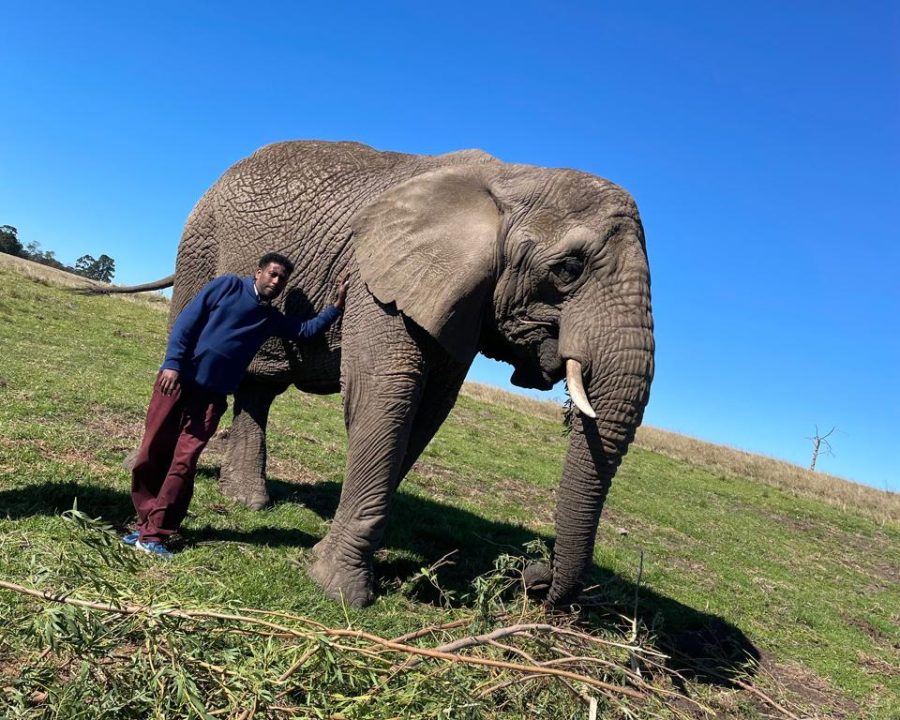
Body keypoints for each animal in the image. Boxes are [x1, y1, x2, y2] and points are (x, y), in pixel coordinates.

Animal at [103, 140, 654, 608]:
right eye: (568, 269)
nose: (532, 576)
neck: (516, 177)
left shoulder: (459, 297)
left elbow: (429, 410)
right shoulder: (379, 278)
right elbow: (385, 395)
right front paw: (339, 591)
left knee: (261, 386)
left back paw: (248, 501)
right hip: (200, 241)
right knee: (187, 343)